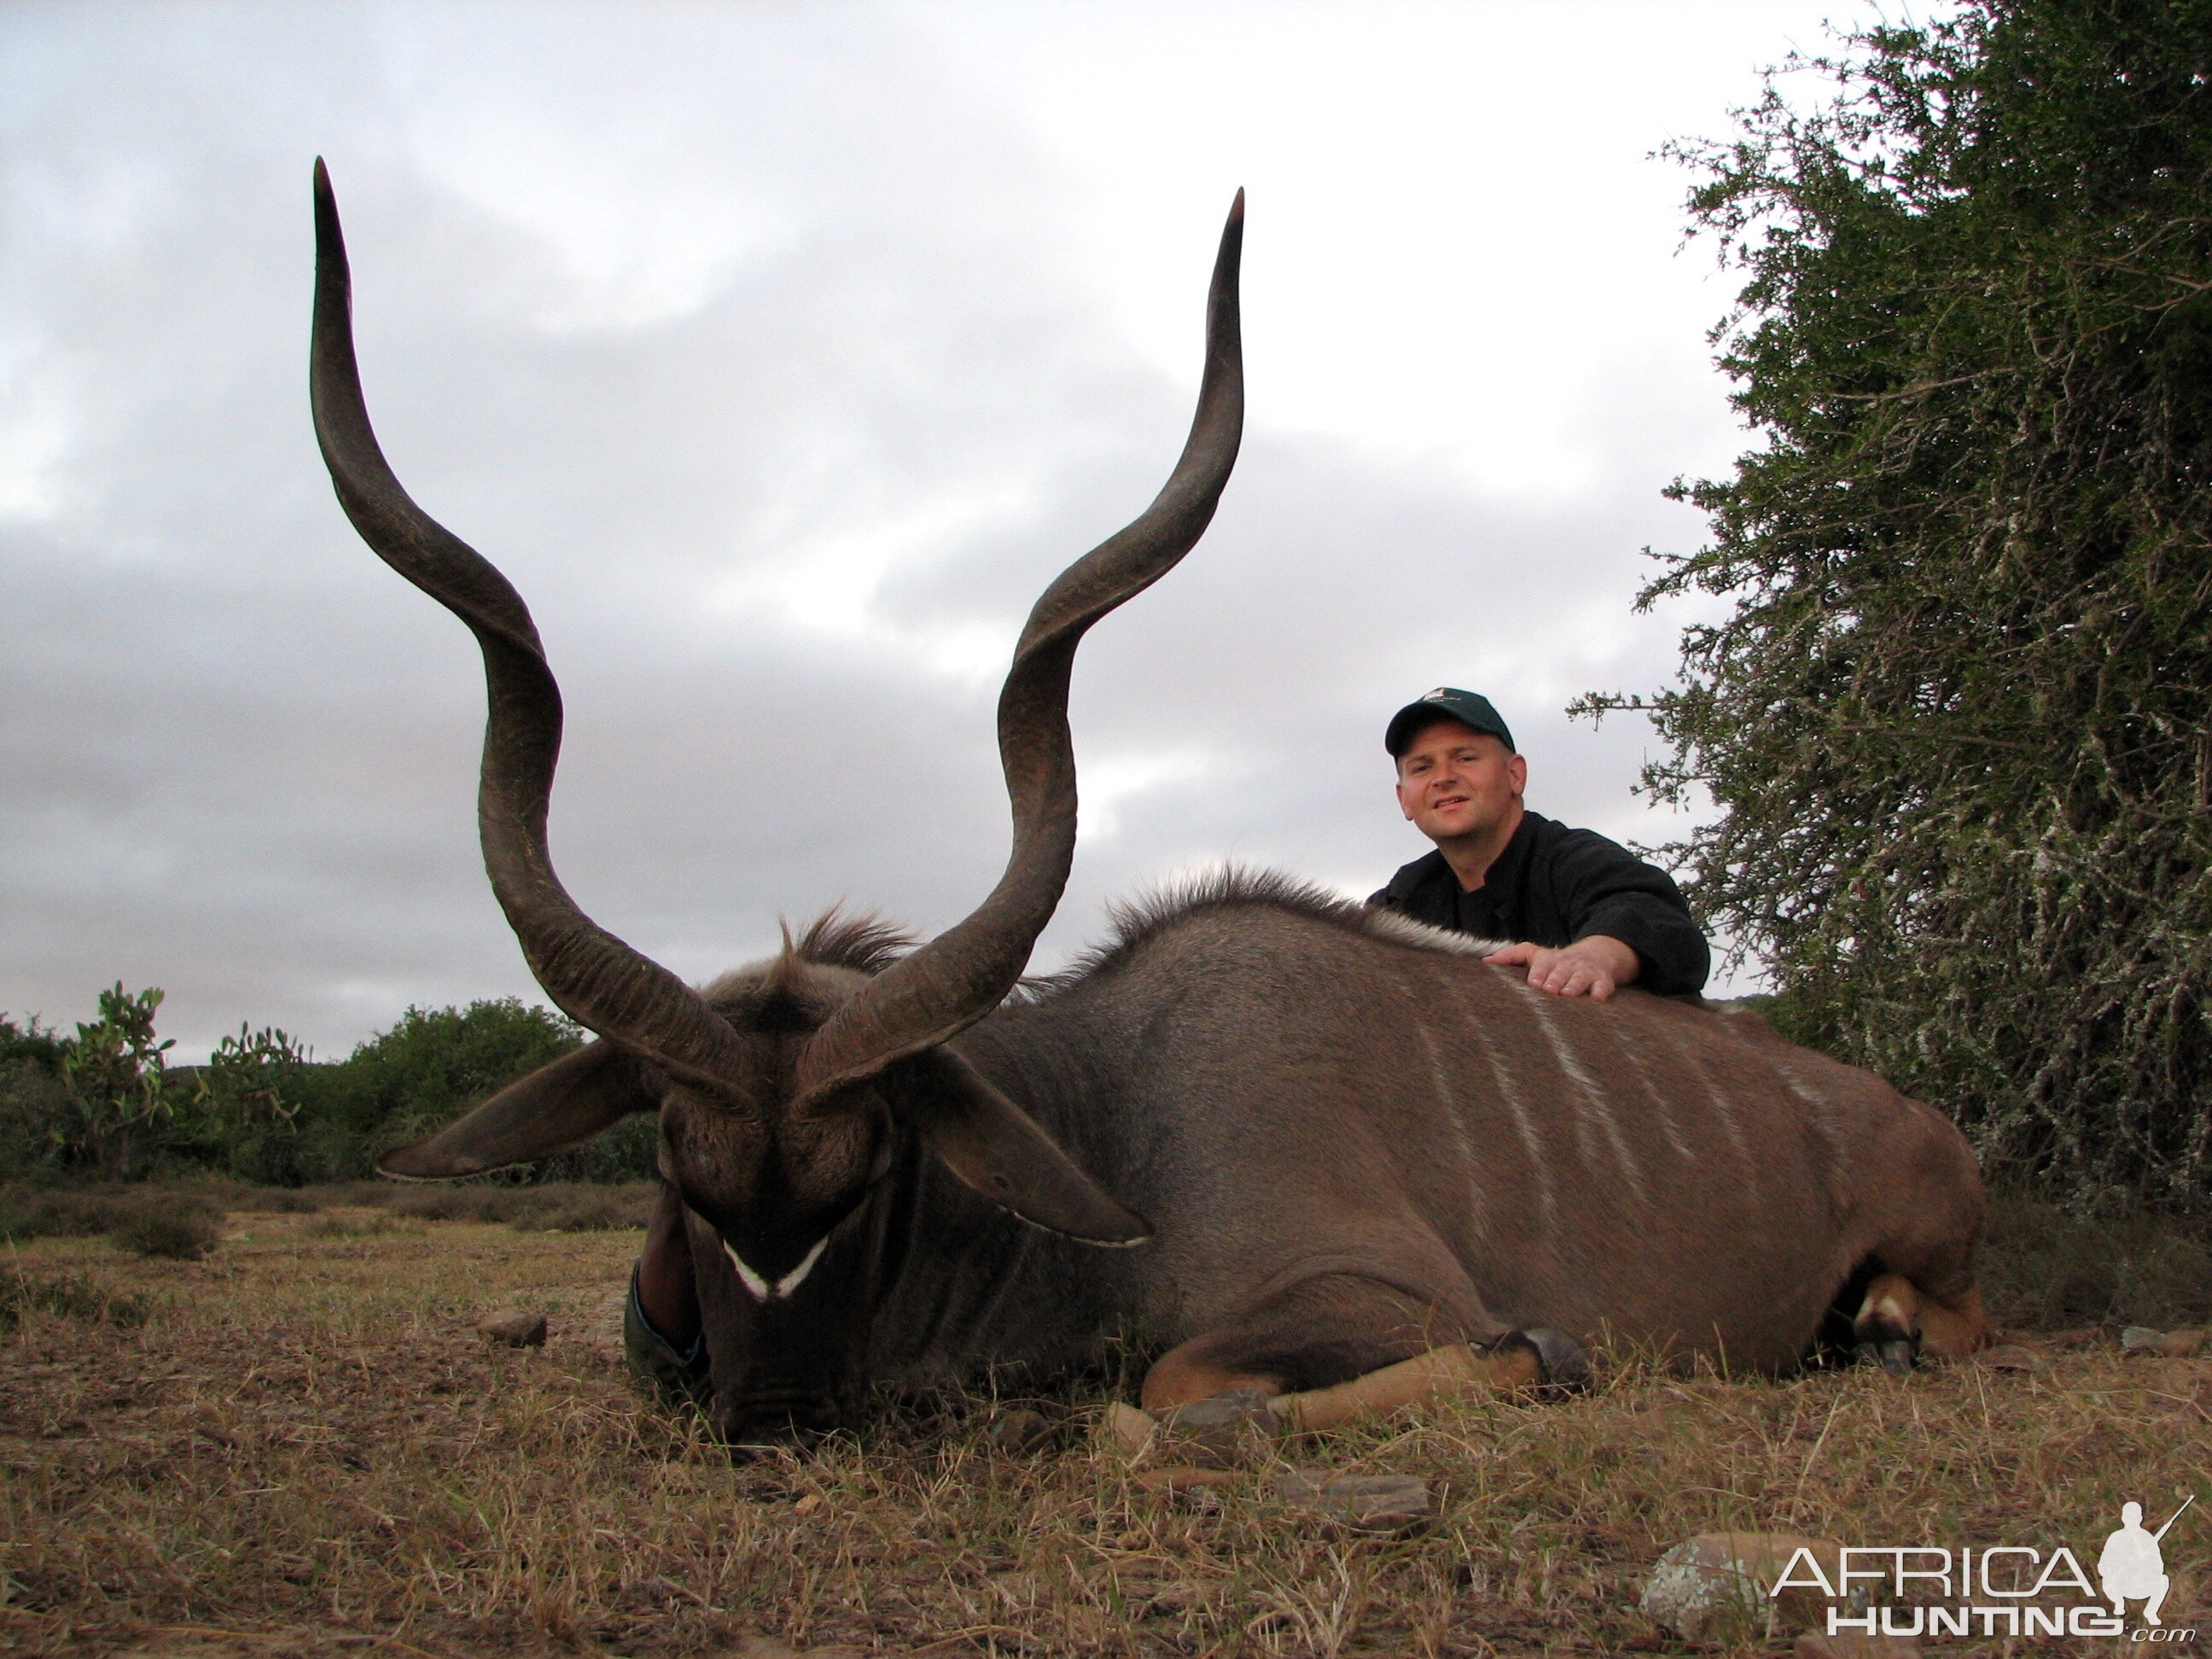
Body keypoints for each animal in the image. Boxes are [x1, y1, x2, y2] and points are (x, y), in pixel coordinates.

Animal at [311, 162, 1990, 1451]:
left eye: (872, 1171)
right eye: (673, 1170)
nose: (772, 1423)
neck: (1112, 1110)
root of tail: (1920, 1119)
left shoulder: (1379, 1296)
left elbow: (1173, 1392)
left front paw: (1541, 1355)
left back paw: (1888, 1326)